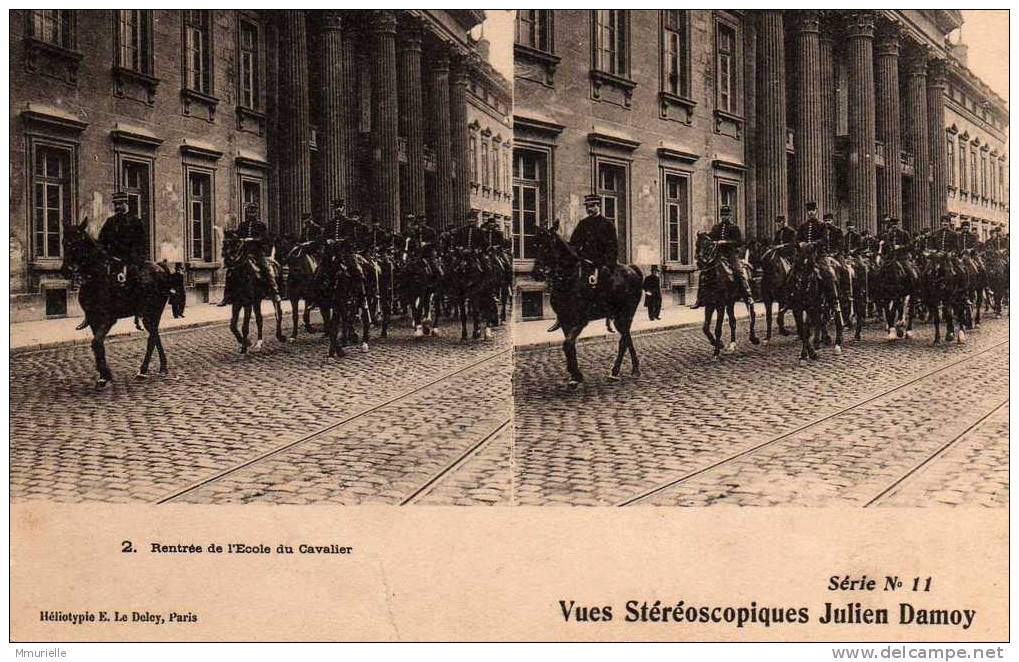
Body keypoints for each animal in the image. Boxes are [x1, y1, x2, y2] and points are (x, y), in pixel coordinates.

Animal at [60, 216, 187, 387]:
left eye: (77, 244)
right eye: (63, 242)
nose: (65, 271)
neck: (97, 276)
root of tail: (161, 269)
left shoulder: (108, 319)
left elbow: (96, 342)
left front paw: (105, 374)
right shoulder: (93, 318)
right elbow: (98, 344)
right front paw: (104, 374)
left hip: (153, 311)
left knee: (152, 337)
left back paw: (146, 370)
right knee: (154, 334)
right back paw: (159, 368)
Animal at [529, 222, 639, 387]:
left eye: (548, 246)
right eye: (535, 244)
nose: (537, 273)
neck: (569, 279)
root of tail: (633, 270)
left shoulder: (580, 321)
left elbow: (567, 344)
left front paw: (576, 374)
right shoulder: (565, 320)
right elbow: (569, 345)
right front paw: (574, 374)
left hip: (625, 314)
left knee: (624, 339)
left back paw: (617, 371)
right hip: (620, 317)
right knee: (626, 336)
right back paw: (630, 369)